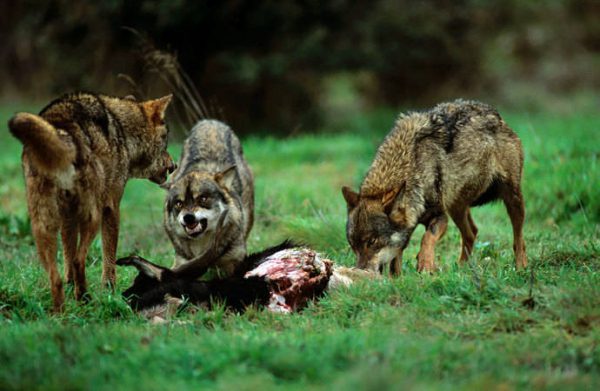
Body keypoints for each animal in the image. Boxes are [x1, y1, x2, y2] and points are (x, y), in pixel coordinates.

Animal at [7, 92, 176, 312]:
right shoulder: (111, 208)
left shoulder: (68, 217)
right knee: (80, 260)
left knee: (56, 275)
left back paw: (60, 312)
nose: (174, 165)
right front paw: (110, 291)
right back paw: (85, 299)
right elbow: (109, 257)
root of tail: (61, 128)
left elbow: (67, 259)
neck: (123, 132)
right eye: (166, 140)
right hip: (92, 217)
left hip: (42, 226)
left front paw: (72, 288)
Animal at [162, 119, 253, 278]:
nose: (188, 218)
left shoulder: (234, 261)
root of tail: (209, 122)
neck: (203, 244)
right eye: (179, 203)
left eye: (203, 199)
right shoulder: (181, 262)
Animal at [340, 99, 528, 274]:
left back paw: (521, 268)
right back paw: (461, 269)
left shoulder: (440, 216)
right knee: (472, 232)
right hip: (456, 206)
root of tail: (496, 115)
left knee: (518, 238)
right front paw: (398, 279)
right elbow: (396, 261)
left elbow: (427, 238)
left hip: (512, 198)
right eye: (353, 245)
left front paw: (425, 264)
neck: (412, 168)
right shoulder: (408, 230)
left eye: (371, 241)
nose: (359, 271)